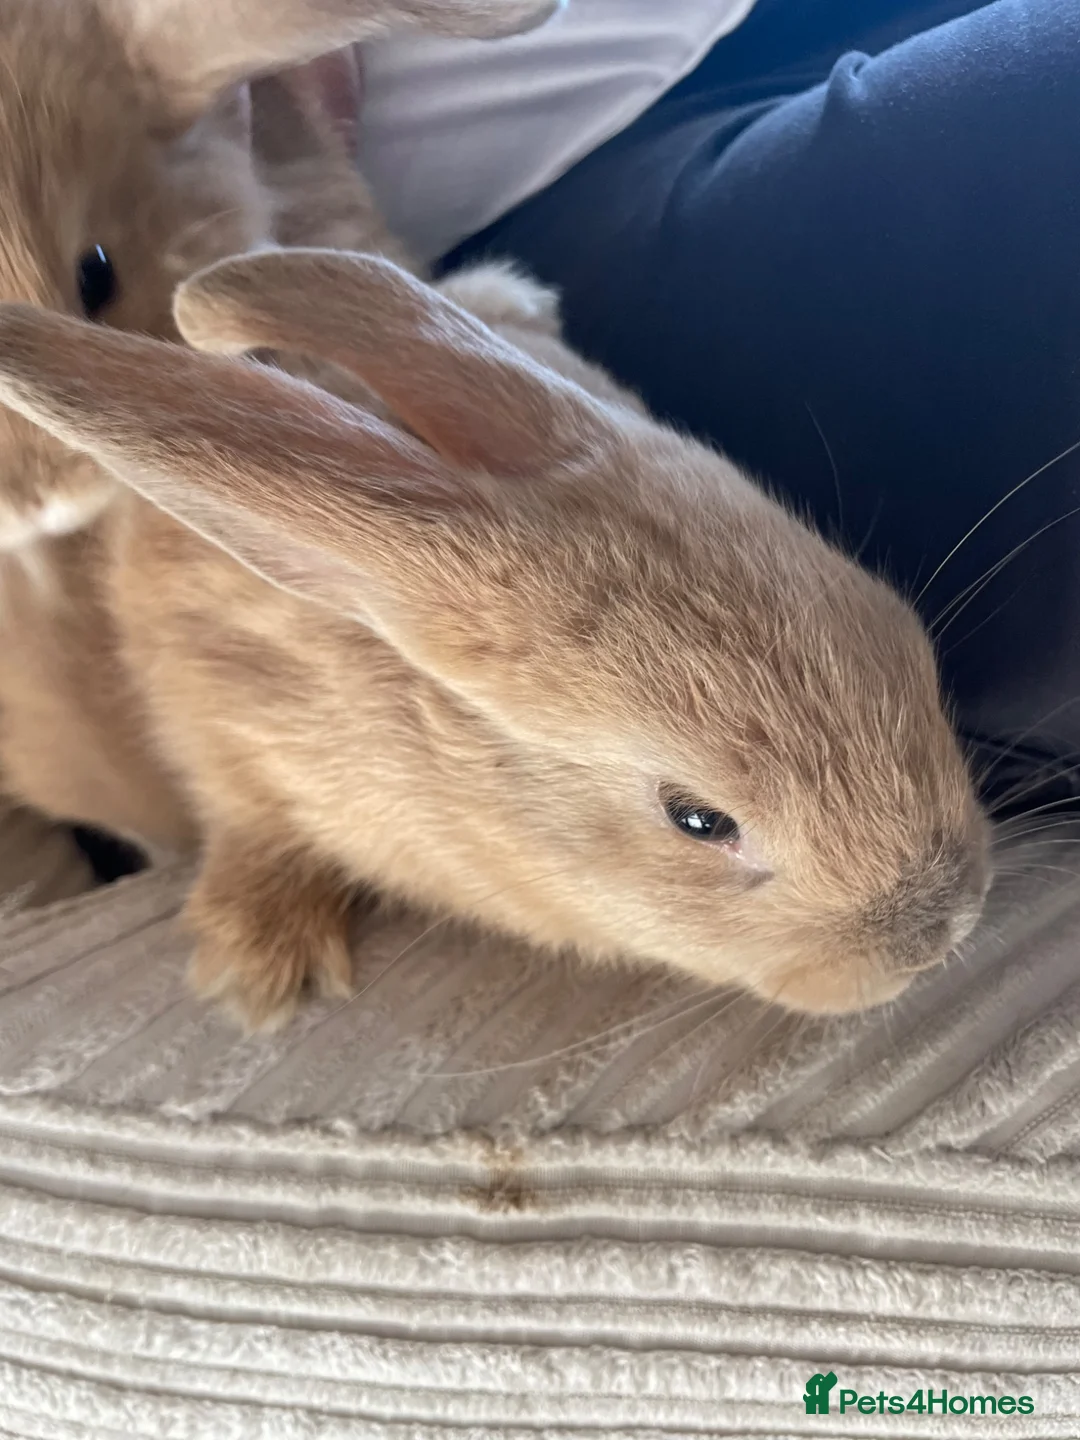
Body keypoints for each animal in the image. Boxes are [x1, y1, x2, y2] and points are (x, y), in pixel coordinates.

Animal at [0, 247, 991, 1027]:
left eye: (901, 631)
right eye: (700, 821)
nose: (945, 928)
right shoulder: (217, 715)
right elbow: (249, 820)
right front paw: (257, 969)